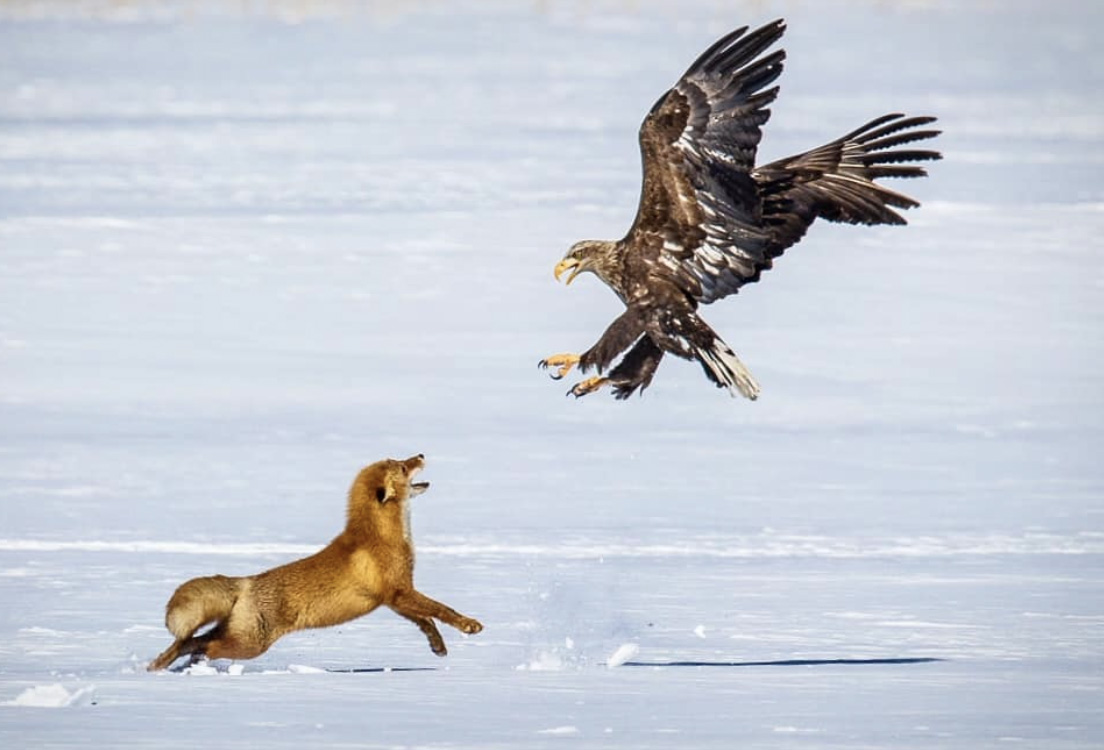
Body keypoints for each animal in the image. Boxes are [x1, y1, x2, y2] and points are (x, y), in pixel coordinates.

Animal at [148, 454, 483, 671]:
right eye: (403, 466)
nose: (422, 454)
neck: (381, 536)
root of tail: (247, 583)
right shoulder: (400, 591)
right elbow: (442, 610)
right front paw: (469, 625)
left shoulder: (393, 599)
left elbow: (427, 621)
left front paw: (438, 646)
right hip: (249, 645)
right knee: (199, 645)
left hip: (237, 634)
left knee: (187, 642)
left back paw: (159, 667)